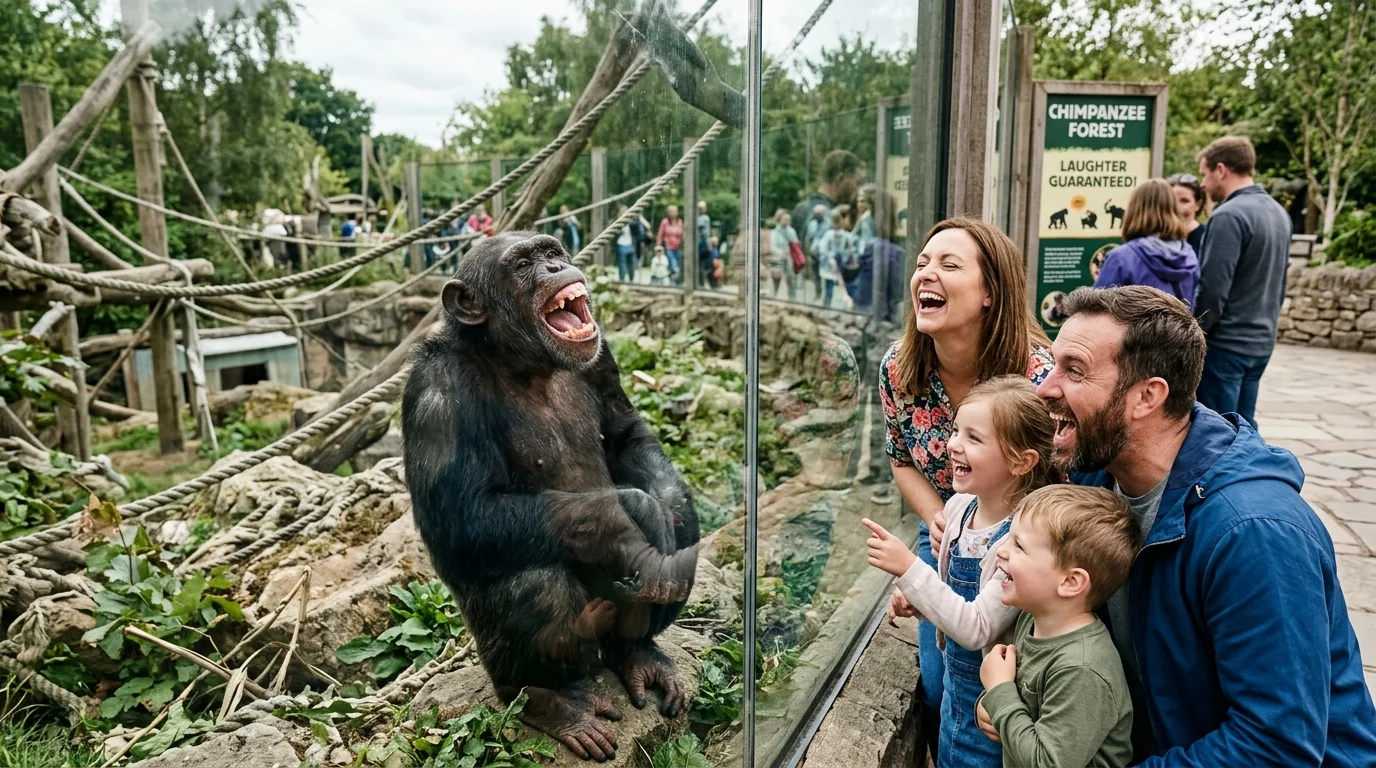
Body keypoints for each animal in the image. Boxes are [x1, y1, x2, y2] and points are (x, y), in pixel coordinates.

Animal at [402, 232, 700, 762]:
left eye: (551, 251)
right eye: (523, 264)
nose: (557, 267)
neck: (520, 361)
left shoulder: (603, 358)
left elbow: (624, 432)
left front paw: (674, 511)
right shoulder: (435, 394)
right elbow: (462, 516)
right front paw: (639, 513)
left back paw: (640, 656)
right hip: (518, 662)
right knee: (537, 586)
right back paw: (551, 703)